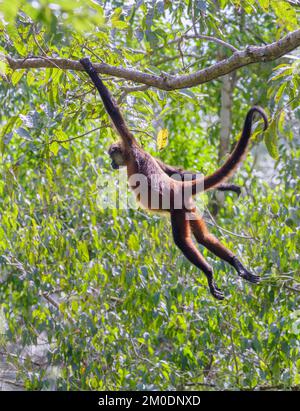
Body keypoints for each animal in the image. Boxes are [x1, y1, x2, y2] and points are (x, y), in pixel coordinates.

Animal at [79, 57, 268, 300]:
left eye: (112, 156)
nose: (112, 164)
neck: (133, 154)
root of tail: (179, 189)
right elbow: (172, 169)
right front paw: (227, 186)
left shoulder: (131, 146)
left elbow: (115, 112)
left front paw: (89, 68)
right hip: (189, 207)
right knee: (203, 238)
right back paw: (238, 265)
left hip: (178, 208)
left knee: (183, 241)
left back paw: (209, 273)